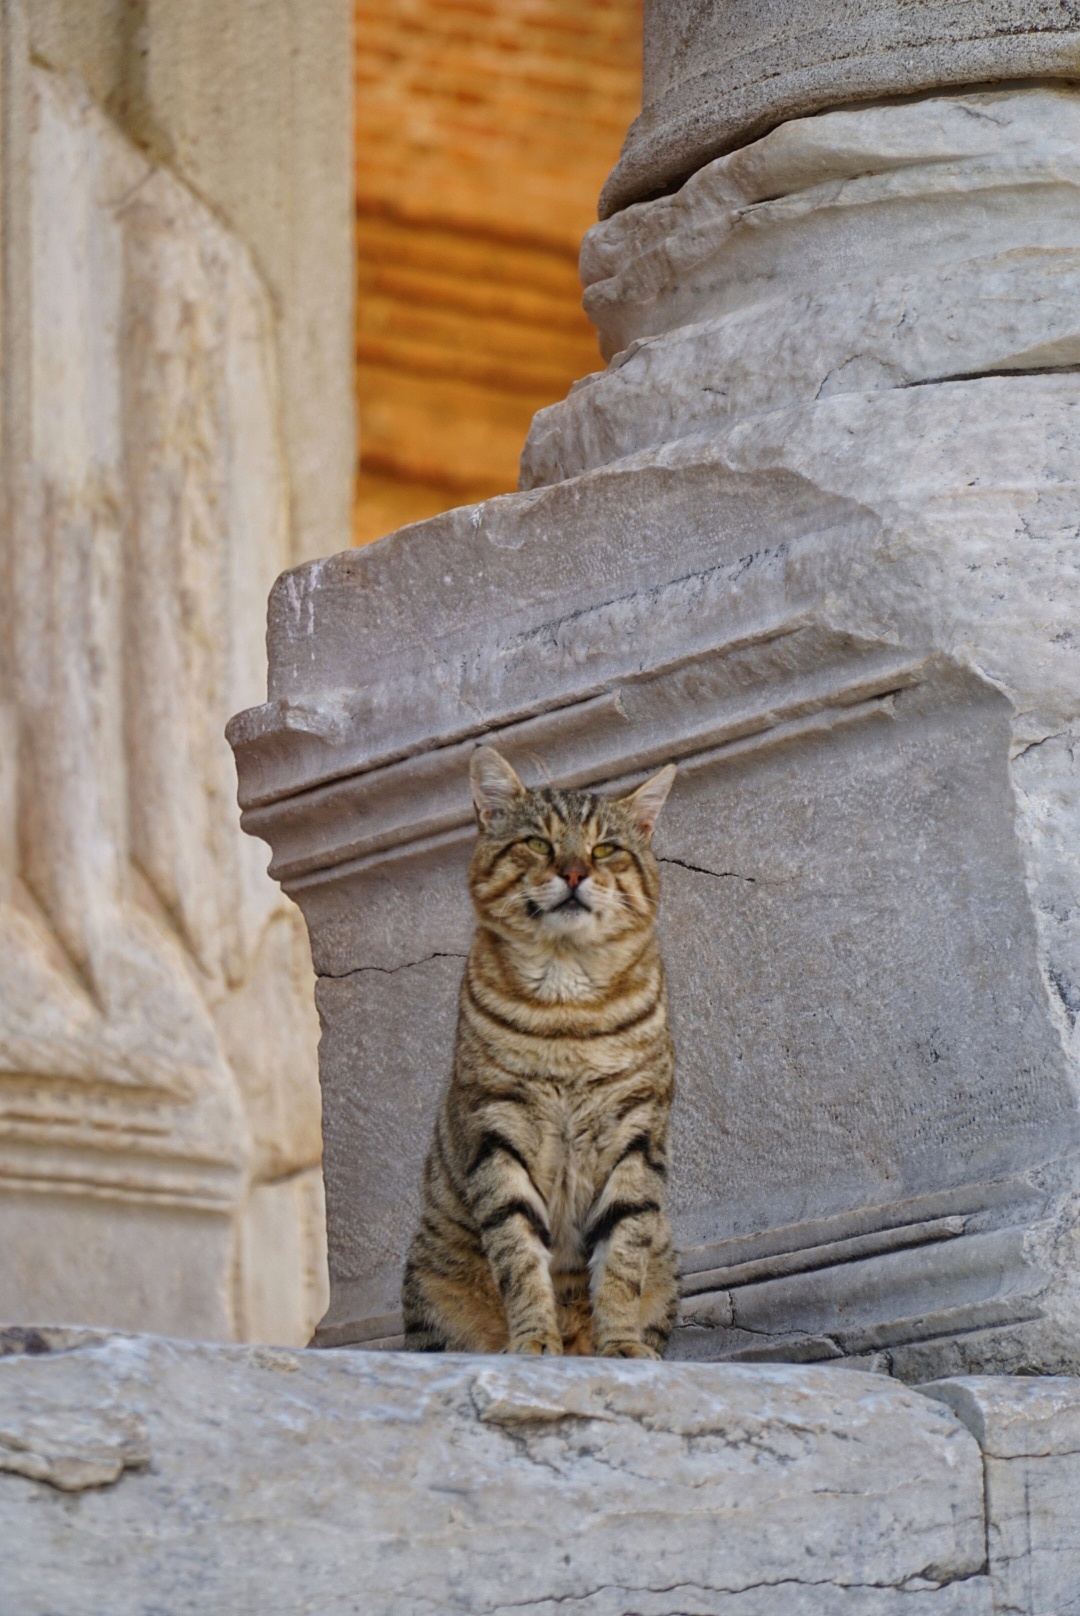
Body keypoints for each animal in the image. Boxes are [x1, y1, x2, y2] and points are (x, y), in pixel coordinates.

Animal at [400, 749, 679, 1357]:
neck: (567, 1007)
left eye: (604, 849)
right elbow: (518, 1255)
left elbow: (622, 1257)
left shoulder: (636, 1133)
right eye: (538, 843)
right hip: (430, 1285)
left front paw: (619, 1343)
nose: (574, 873)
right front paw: (533, 1339)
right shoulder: (497, 1130)